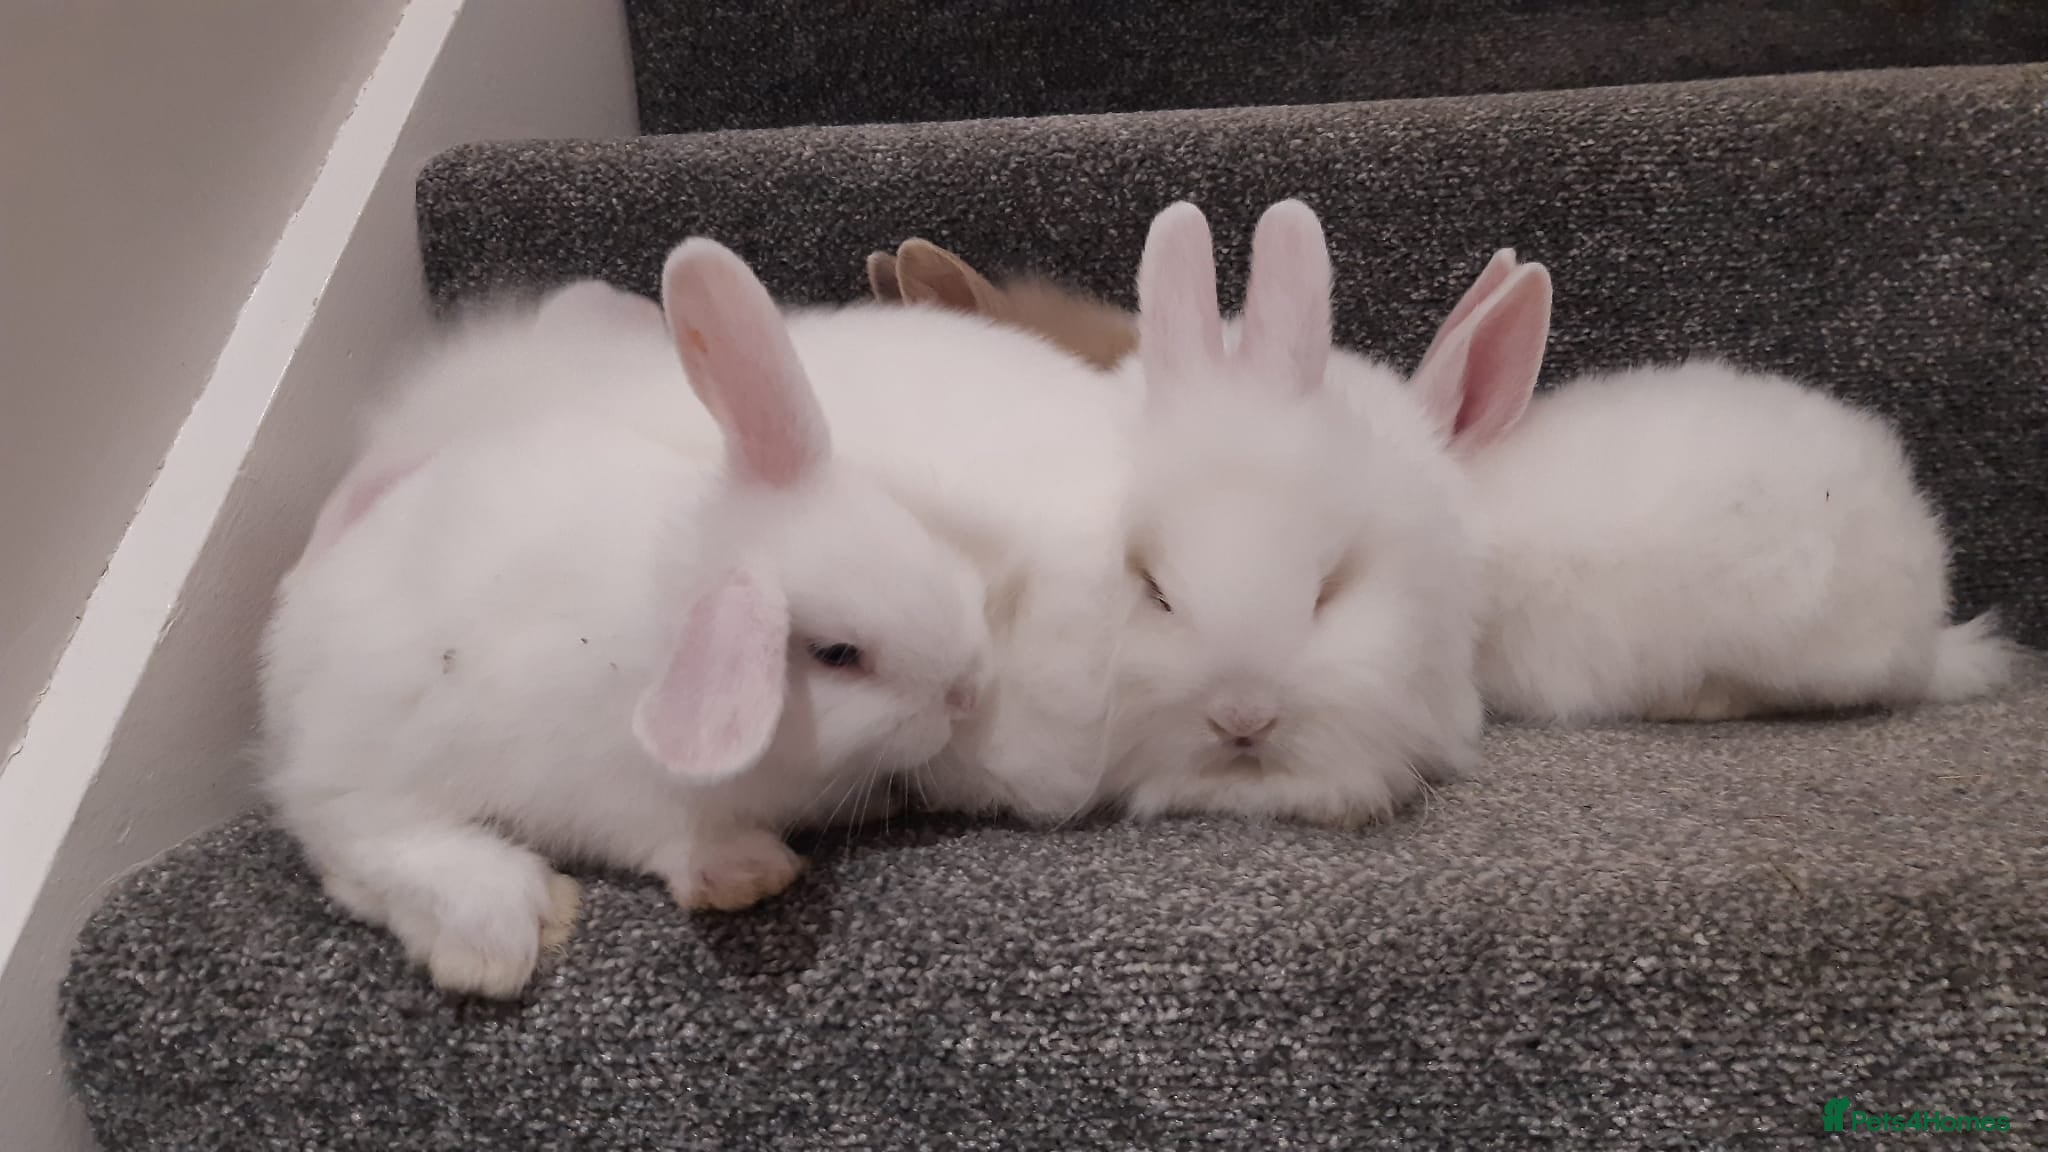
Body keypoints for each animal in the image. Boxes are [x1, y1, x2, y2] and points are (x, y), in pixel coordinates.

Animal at [260, 238, 993, 998]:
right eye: (839, 655)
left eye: (916, 531)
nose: (969, 690)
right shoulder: (618, 790)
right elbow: (671, 839)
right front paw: (749, 872)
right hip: (379, 764)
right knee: (357, 838)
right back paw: (496, 933)